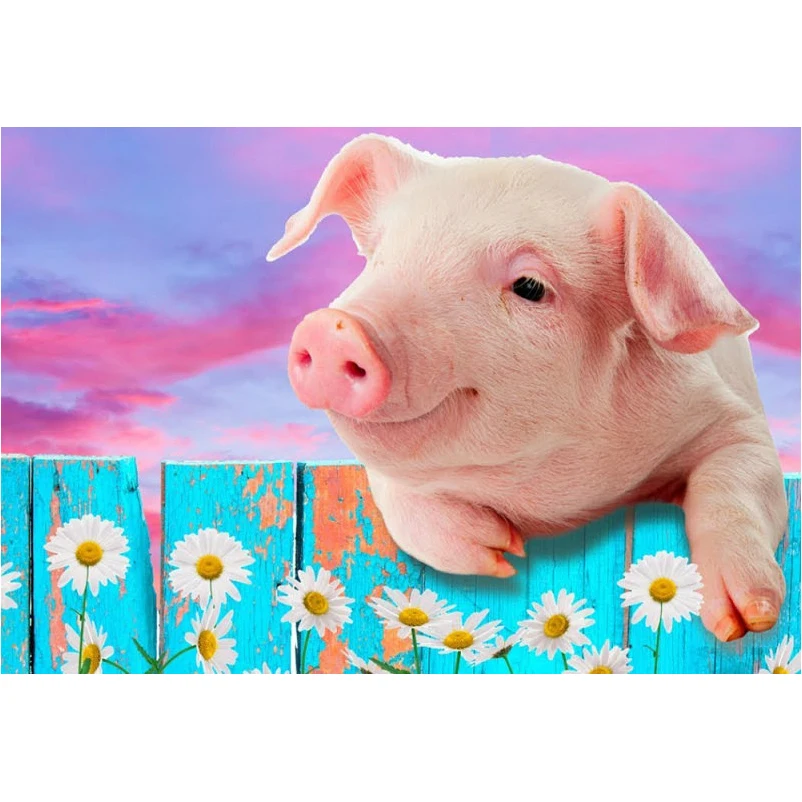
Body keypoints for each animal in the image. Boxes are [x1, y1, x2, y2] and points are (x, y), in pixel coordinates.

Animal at [267, 133, 788, 644]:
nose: (334, 328)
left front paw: (748, 620)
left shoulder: (731, 418)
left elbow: (734, 483)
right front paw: (502, 553)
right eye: (377, 259)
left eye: (530, 287)